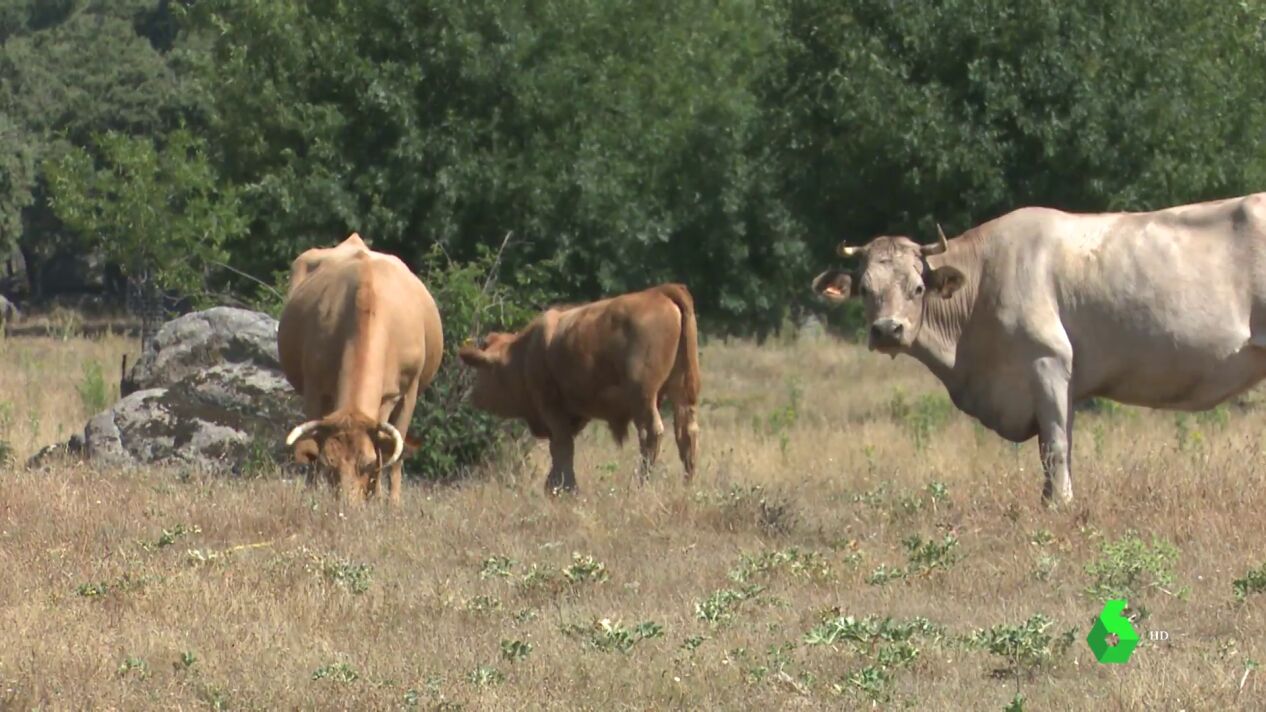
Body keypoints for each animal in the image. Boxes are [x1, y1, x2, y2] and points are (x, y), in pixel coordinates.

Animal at [277, 233, 443, 504]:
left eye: (367, 463)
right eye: (329, 464)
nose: (347, 505)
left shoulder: (403, 391)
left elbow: (391, 451)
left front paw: (386, 500)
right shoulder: (314, 386)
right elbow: (313, 442)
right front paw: (313, 494)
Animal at [457, 284, 701, 494]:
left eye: (482, 371)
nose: (474, 396)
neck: (523, 354)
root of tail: (660, 291)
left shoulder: (552, 409)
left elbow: (561, 447)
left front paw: (563, 488)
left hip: (643, 396)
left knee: (650, 433)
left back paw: (639, 486)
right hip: (682, 392)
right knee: (686, 432)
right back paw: (688, 484)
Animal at [811, 193, 1266, 507]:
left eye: (918, 287)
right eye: (865, 289)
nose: (887, 329)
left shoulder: (1046, 360)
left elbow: (1055, 445)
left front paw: (1059, 505)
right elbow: (1057, 441)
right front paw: (1050, 499)